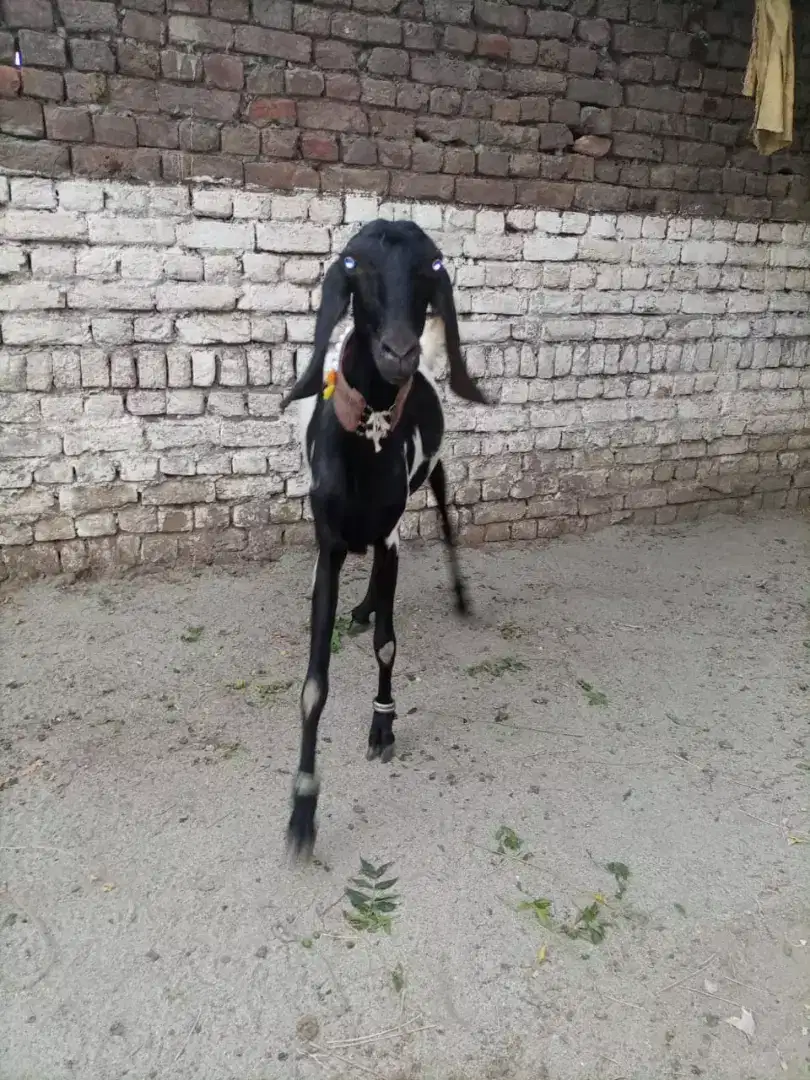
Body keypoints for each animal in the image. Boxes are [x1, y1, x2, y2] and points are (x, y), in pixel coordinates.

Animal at [279, 218, 487, 856]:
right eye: (357, 267)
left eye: (430, 269)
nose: (399, 353)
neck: (366, 436)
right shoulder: (328, 547)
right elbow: (314, 683)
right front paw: (303, 809)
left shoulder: (392, 534)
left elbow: (389, 646)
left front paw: (383, 723)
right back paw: (365, 606)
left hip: (434, 477)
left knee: (444, 525)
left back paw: (457, 596)